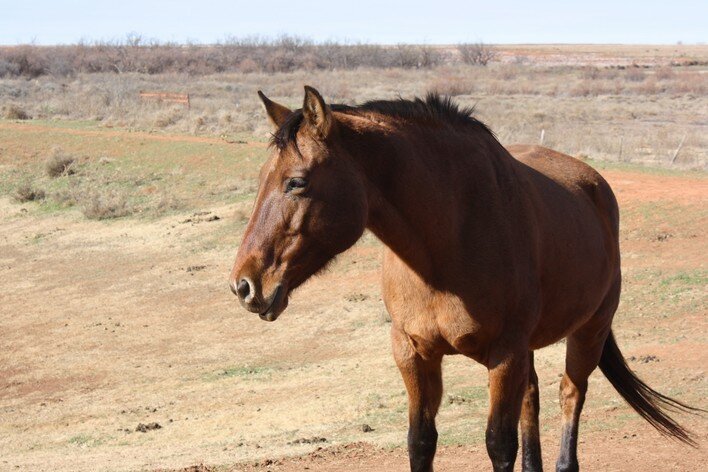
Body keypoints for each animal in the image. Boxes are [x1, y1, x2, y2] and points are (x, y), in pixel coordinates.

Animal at [229, 86, 697, 471]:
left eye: (297, 182)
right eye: (261, 179)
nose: (244, 285)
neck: (447, 243)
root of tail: (595, 185)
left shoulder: (504, 354)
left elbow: (498, 445)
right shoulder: (412, 352)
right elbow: (420, 442)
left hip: (589, 331)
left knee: (570, 394)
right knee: (532, 398)